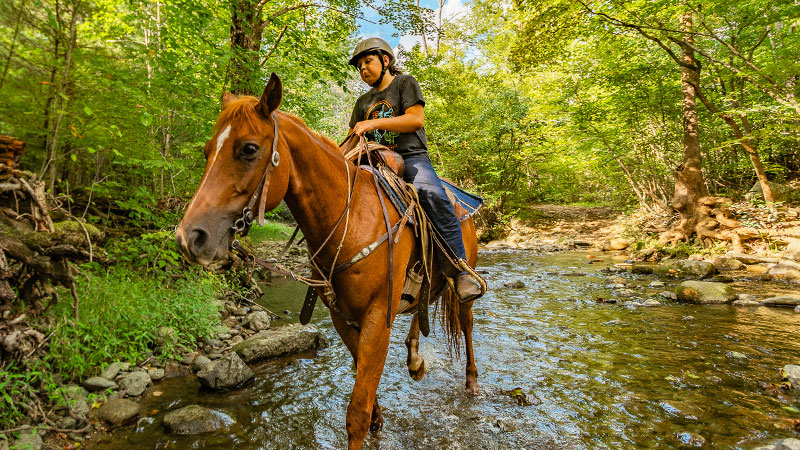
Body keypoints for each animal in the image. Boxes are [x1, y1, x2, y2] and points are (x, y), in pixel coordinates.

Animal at [177, 74, 482, 450]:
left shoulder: (377, 318)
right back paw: (414, 360)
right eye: (207, 151)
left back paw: (472, 383)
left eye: (248, 148)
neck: (351, 217)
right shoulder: (342, 318)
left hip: (464, 281)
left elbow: (357, 413)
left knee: (466, 323)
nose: (189, 237)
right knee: (422, 304)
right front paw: (380, 418)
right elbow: (365, 396)